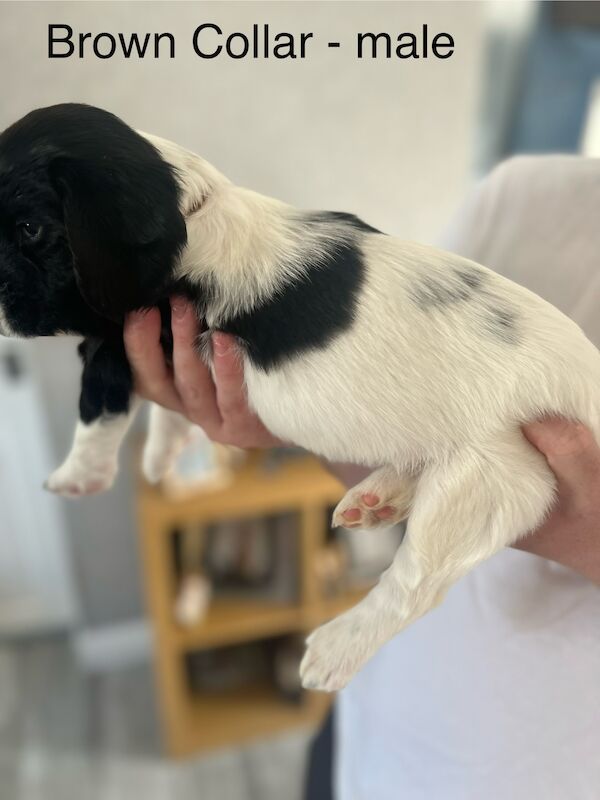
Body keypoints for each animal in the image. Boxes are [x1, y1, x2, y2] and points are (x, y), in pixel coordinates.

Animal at [1, 104, 600, 692]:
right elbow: (170, 410)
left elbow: (96, 408)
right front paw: (161, 456)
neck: (191, 208)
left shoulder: (120, 340)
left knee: (414, 586)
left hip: (487, 483)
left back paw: (334, 648)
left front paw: (77, 476)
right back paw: (379, 498)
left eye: (29, 228)